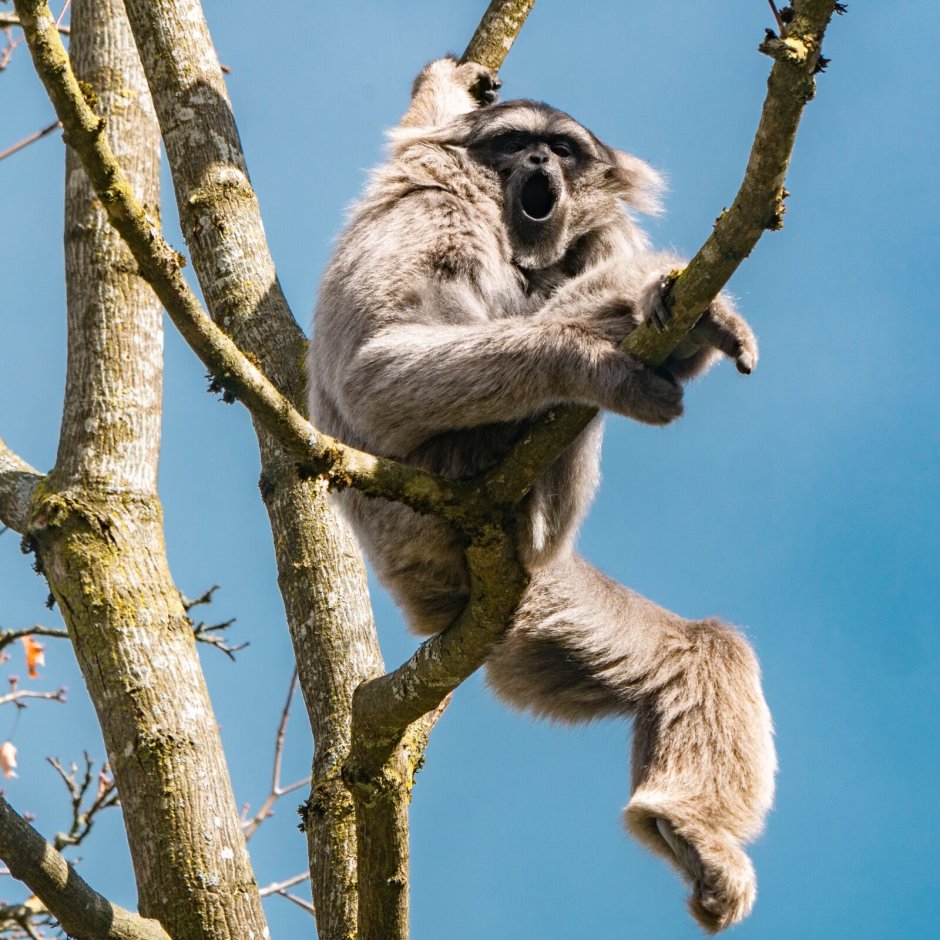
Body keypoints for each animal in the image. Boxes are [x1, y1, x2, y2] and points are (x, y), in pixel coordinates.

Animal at [308, 57, 776, 933]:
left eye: (560, 148)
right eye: (517, 144)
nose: (538, 166)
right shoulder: (431, 207)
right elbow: (376, 369)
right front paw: (599, 352)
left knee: (701, 649)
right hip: (451, 495)